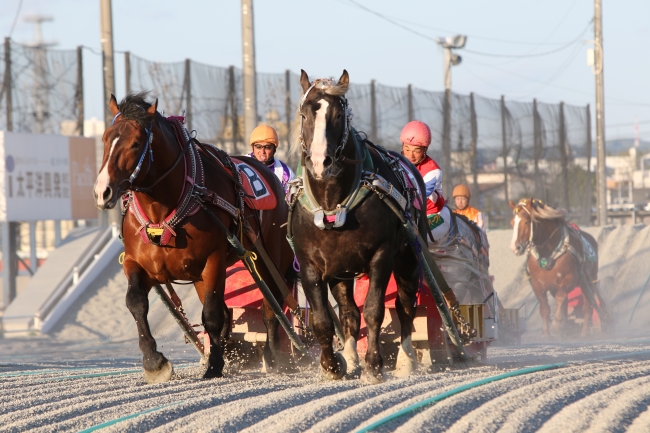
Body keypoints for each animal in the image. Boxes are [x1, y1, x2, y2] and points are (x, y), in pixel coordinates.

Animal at [288, 69, 450, 384]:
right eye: (304, 113)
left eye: (339, 114)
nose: (320, 162)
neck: (333, 203)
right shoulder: (310, 263)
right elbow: (323, 319)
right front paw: (332, 365)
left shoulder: (382, 255)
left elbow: (375, 309)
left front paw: (374, 365)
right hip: (340, 271)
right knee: (349, 312)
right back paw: (351, 358)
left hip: (409, 256)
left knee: (405, 305)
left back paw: (406, 361)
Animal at [506, 197, 608, 336]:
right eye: (512, 223)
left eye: (526, 221)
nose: (515, 247)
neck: (548, 254)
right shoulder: (538, 285)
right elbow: (545, 309)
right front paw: (546, 334)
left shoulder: (569, 280)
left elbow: (561, 298)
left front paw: (556, 323)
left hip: (588, 280)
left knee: (588, 307)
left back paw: (584, 332)